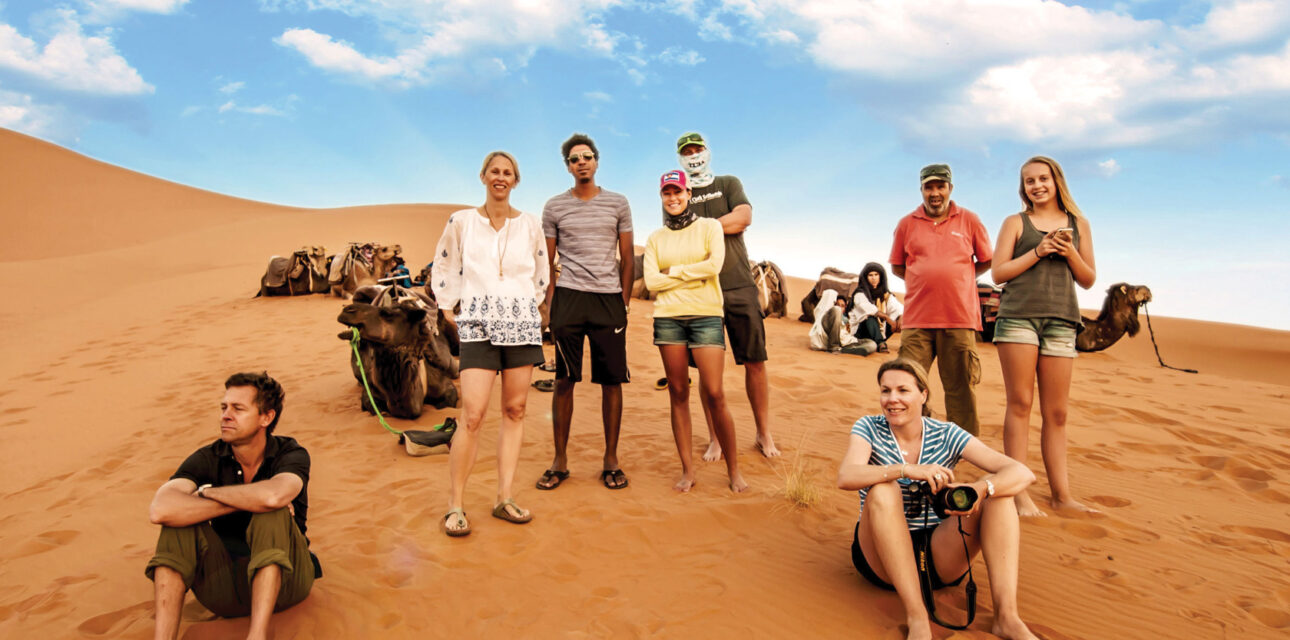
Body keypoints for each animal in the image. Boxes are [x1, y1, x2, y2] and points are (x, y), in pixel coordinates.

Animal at [340, 282, 461, 418]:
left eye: (387, 313)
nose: (347, 309)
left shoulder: (444, 382)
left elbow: (447, 404)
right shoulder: (370, 390)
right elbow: (374, 408)